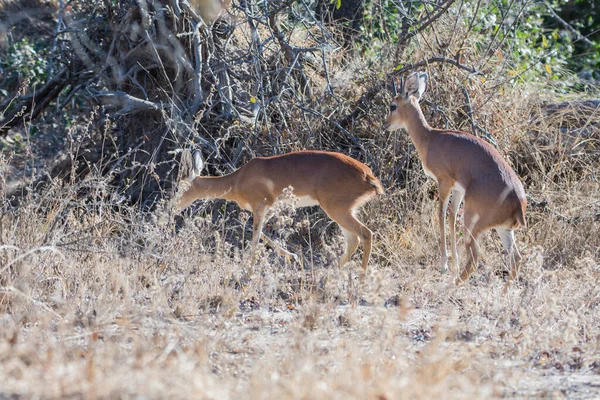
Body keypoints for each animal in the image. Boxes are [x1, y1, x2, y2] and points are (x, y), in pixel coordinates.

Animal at [173, 150, 382, 272]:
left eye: (180, 187)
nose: (172, 207)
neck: (238, 180)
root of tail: (367, 175)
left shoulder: (260, 207)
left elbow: (255, 238)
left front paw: (248, 272)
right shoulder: (269, 210)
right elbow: (263, 235)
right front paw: (294, 257)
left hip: (337, 210)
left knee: (366, 234)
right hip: (344, 211)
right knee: (354, 240)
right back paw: (327, 272)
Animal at [382, 71, 528, 284]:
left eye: (393, 105)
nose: (385, 124)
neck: (431, 138)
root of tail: (519, 204)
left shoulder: (444, 182)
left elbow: (441, 214)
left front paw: (444, 265)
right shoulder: (458, 189)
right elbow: (451, 216)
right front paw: (453, 264)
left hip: (473, 224)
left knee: (475, 259)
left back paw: (452, 285)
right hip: (504, 229)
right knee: (516, 259)